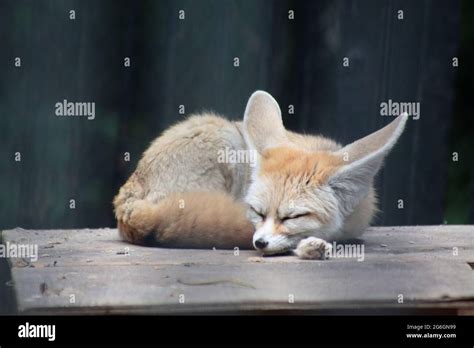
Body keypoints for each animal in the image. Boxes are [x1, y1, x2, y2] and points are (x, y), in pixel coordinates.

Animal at [114, 89, 408, 258]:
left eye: (293, 216)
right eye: (257, 211)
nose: (260, 243)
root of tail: (127, 196)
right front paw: (310, 247)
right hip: (225, 137)